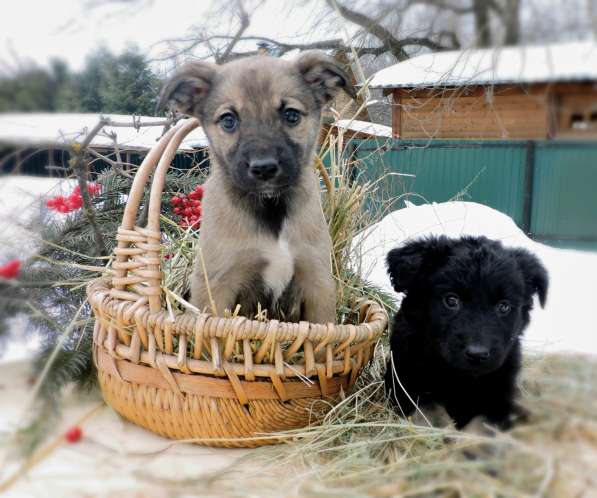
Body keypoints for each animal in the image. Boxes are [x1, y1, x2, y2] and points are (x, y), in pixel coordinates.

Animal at [158, 53, 354, 322]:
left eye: (291, 115)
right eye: (228, 120)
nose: (264, 169)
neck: (271, 209)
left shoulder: (318, 283)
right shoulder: (216, 287)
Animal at [384, 235, 548, 430]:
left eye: (504, 306)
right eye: (451, 300)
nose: (477, 354)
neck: (462, 377)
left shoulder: (500, 397)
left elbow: (482, 423)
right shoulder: (405, 383)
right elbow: (432, 409)